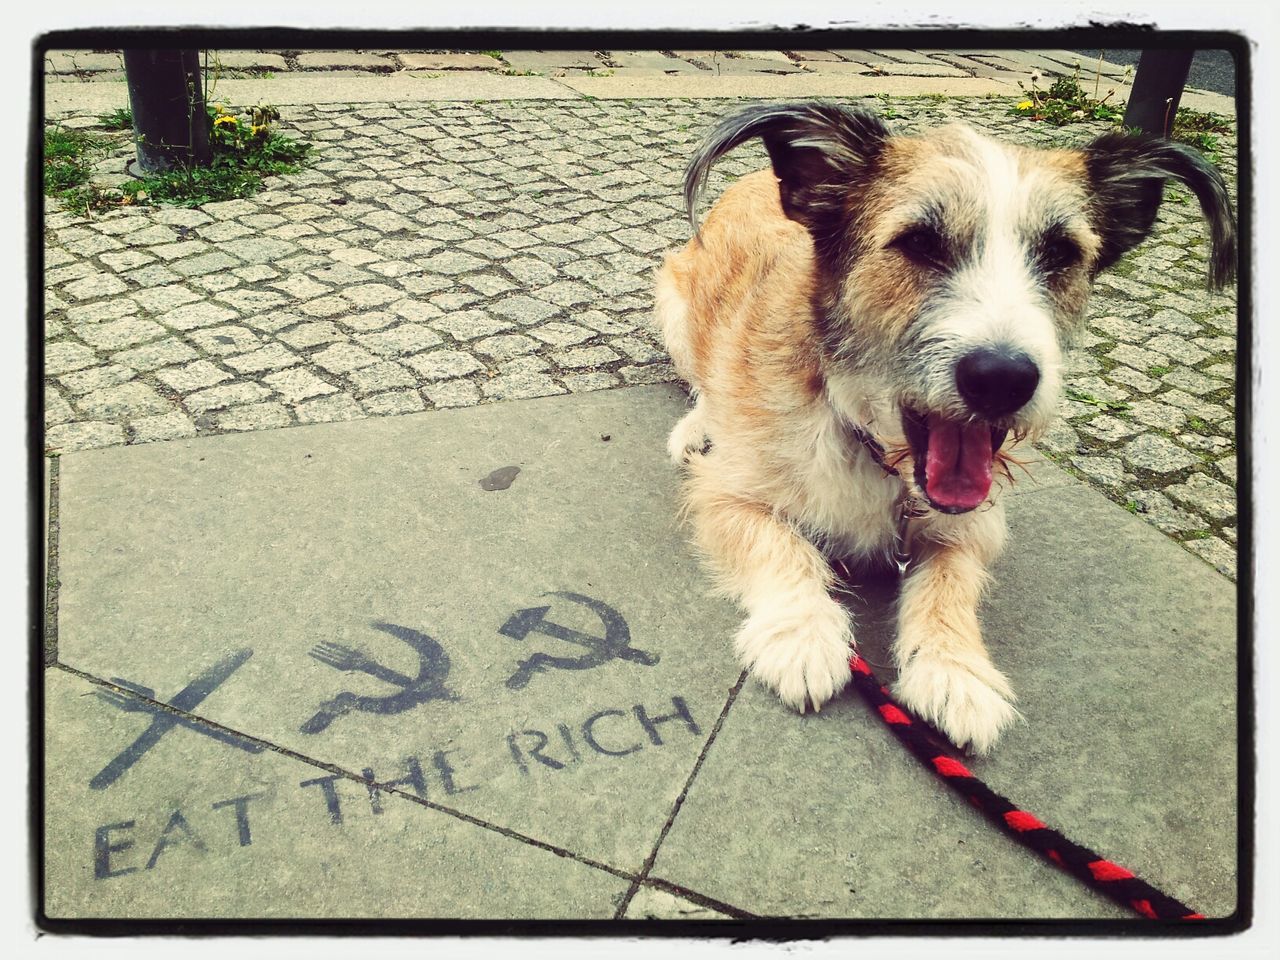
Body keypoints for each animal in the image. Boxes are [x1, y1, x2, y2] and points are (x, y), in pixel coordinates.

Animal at [655, 101, 1233, 757]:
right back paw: (697, 424)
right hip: (673, 304)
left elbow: (950, 581)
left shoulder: (970, 526)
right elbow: (782, 546)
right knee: (699, 378)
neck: (875, 445)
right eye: (920, 242)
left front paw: (955, 672)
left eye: (1060, 253)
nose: (1003, 379)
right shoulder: (727, 494)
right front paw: (803, 634)